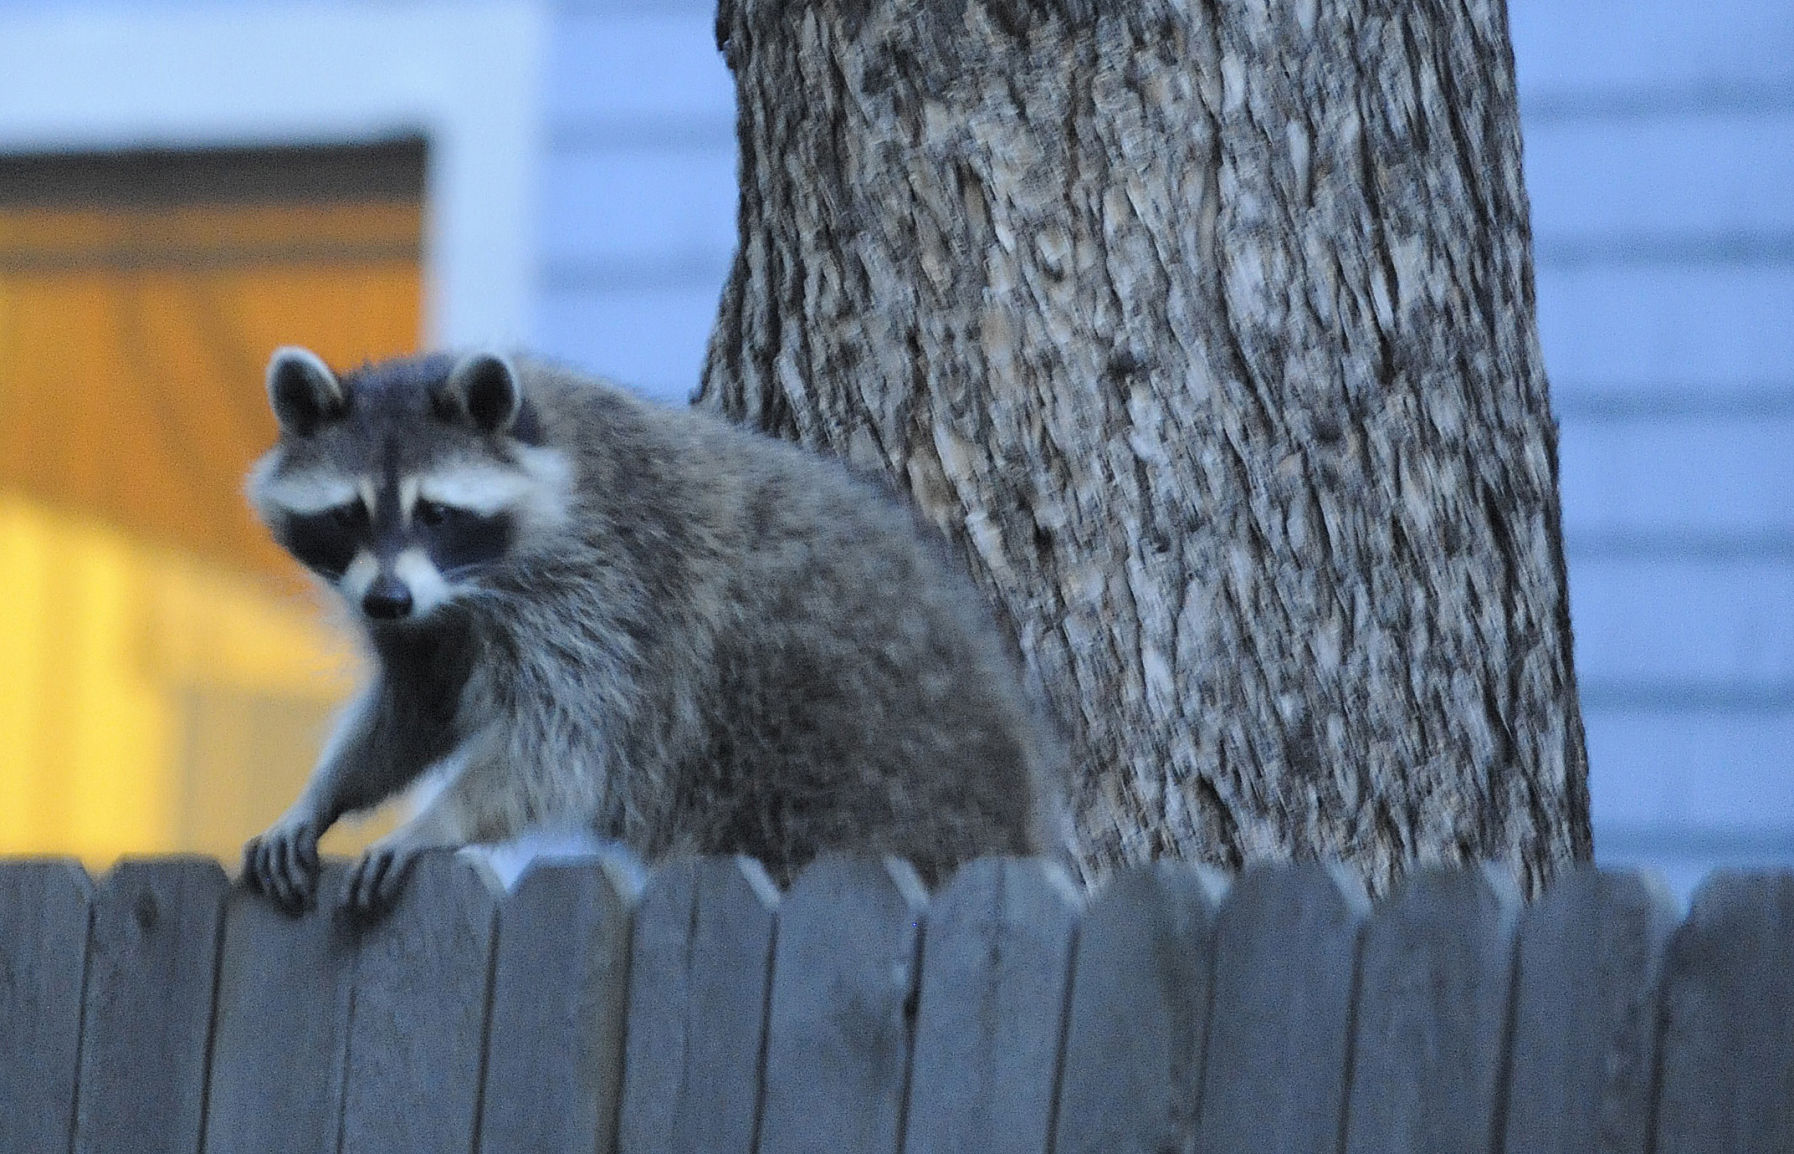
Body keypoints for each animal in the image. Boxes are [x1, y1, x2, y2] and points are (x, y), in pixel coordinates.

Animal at [233, 348, 1054, 915]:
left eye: (435, 513)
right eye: (348, 515)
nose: (386, 601)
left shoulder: (615, 590)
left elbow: (564, 745)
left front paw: (440, 817)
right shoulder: (429, 619)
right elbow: (416, 708)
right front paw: (322, 795)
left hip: (861, 782)